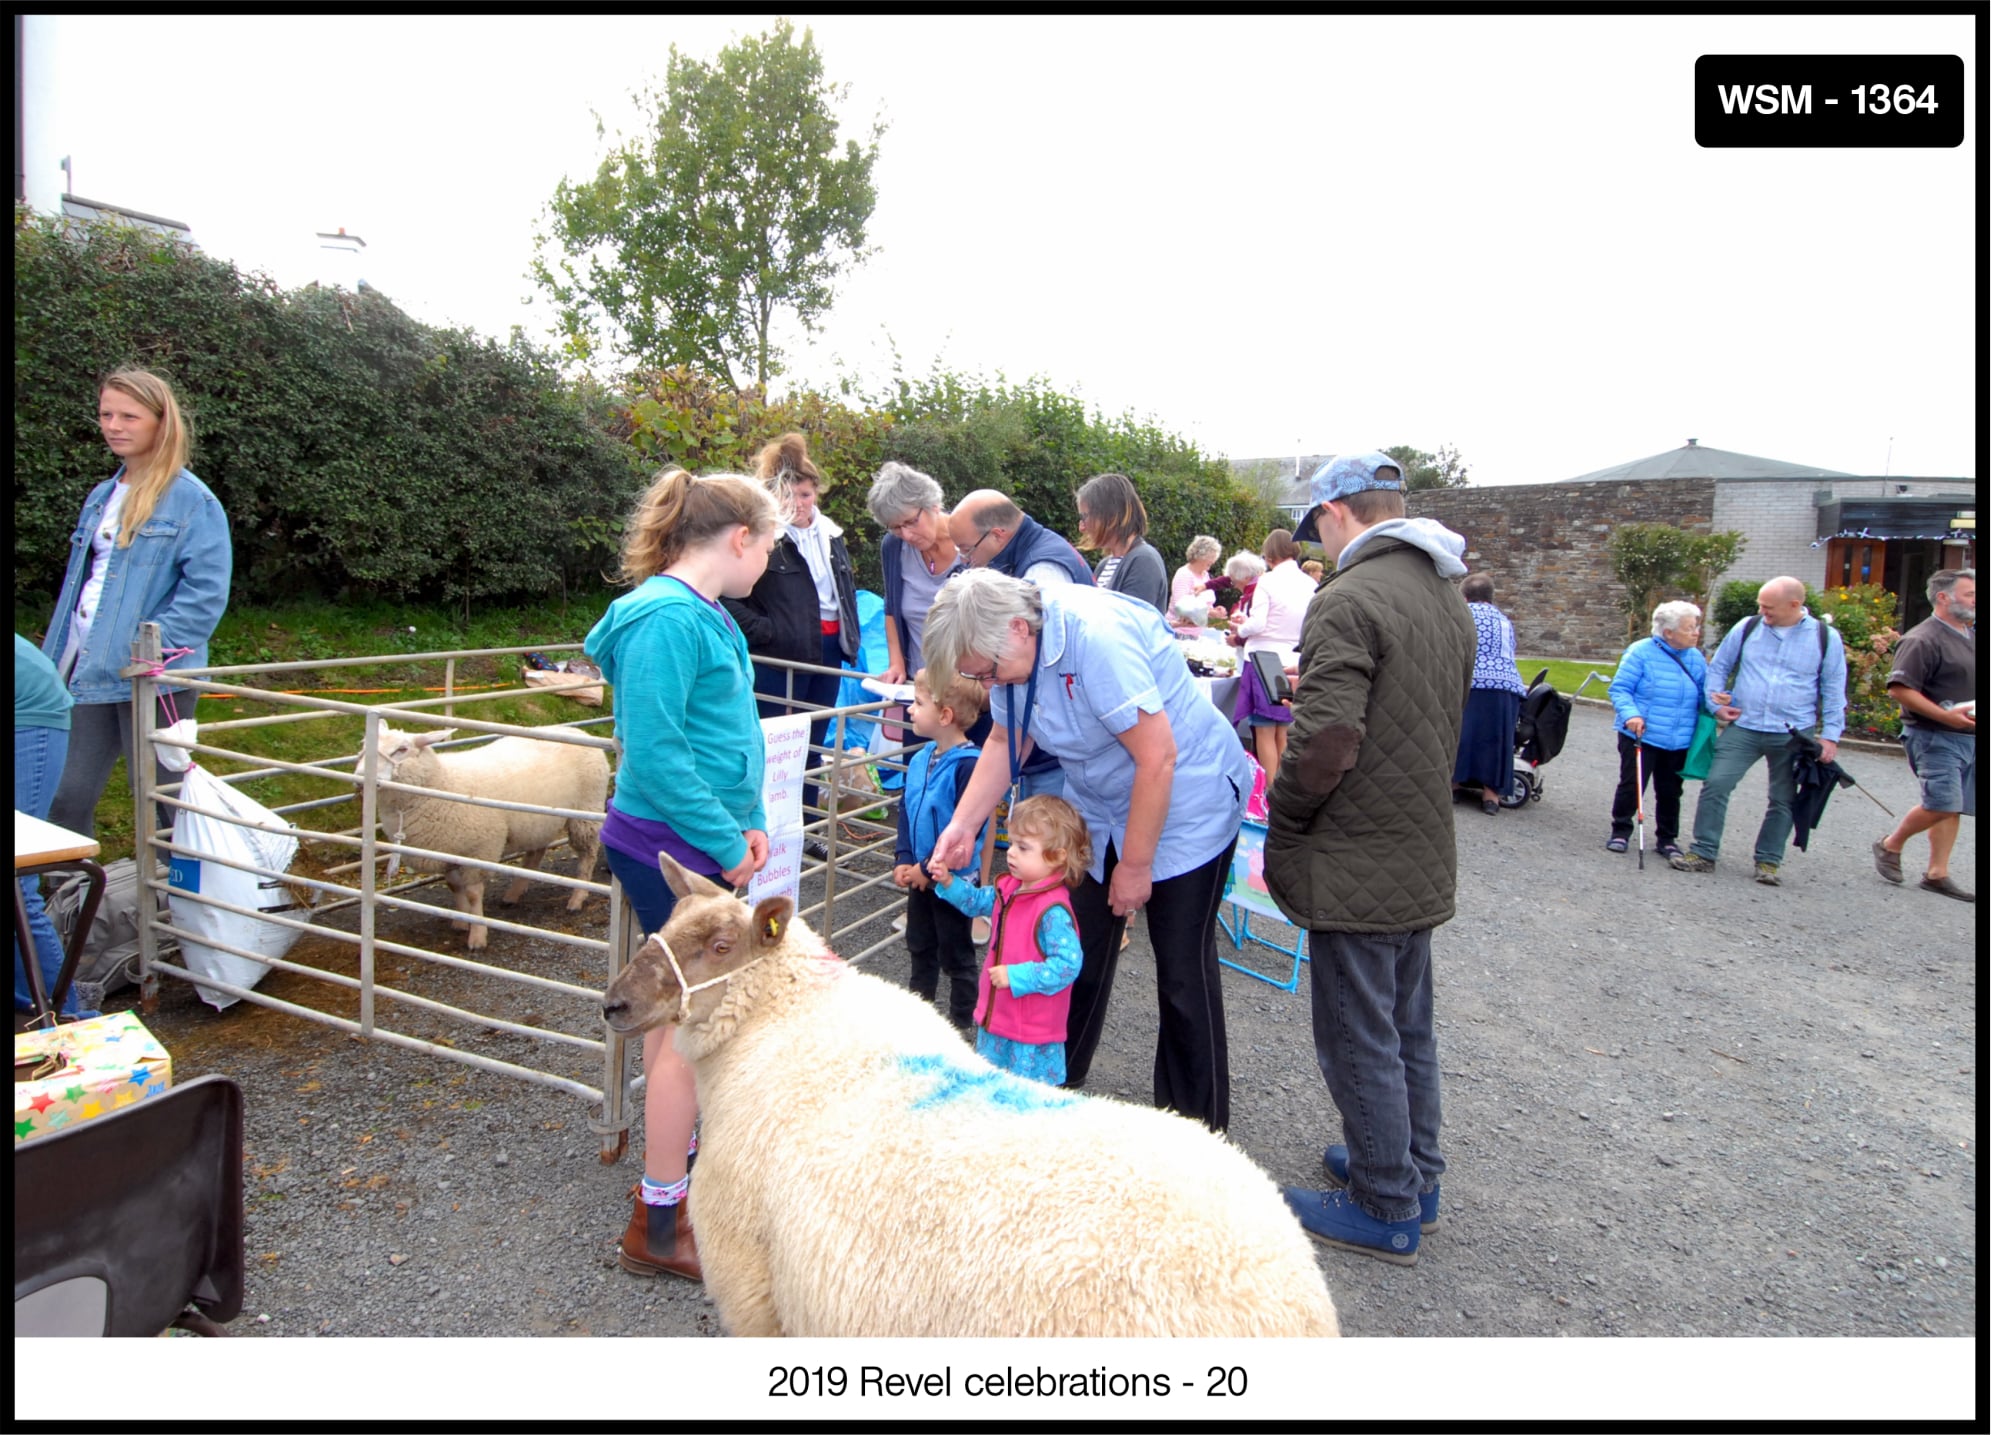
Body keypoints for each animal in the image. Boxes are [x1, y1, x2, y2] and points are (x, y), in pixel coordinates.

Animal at [364, 731, 604, 955]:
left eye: (402, 749)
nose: (360, 778)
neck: (442, 782)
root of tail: (580, 733)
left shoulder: (479, 850)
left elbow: (473, 893)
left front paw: (477, 935)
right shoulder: (448, 851)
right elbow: (454, 886)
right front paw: (460, 920)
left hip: (585, 813)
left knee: (588, 854)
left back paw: (577, 898)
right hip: (537, 823)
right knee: (536, 853)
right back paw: (513, 894)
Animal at [596, 847, 1344, 1343]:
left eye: (722, 944)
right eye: (668, 920)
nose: (613, 1003)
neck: (782, 1019)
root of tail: (1299, 1298)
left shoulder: (754, 1285)